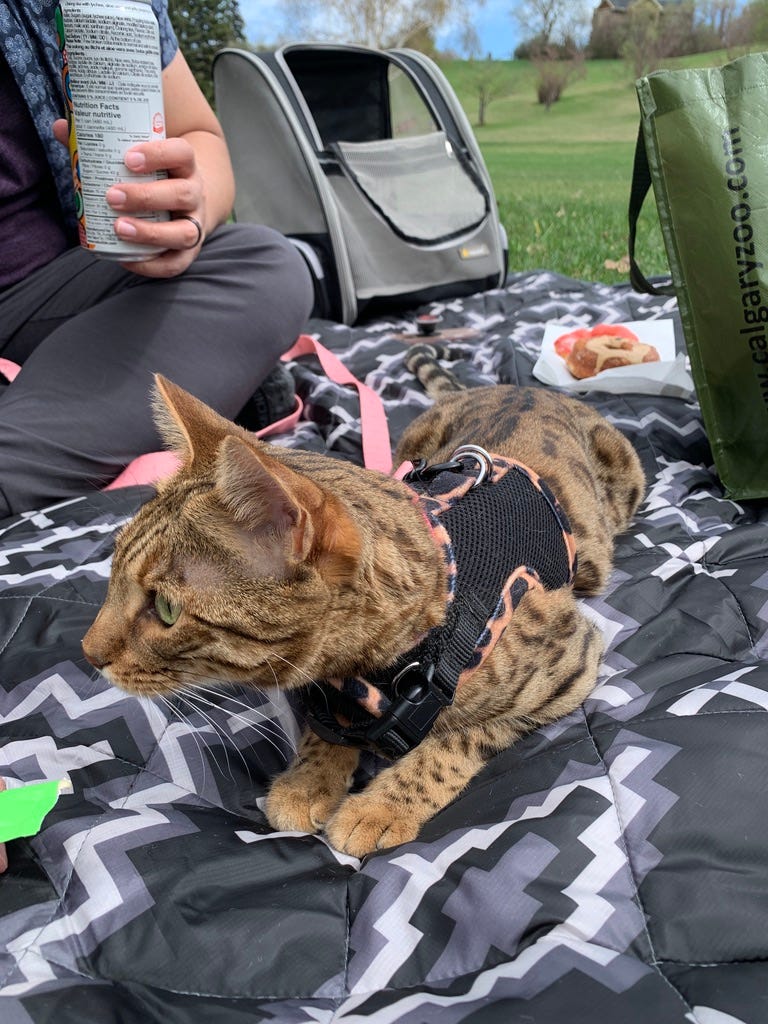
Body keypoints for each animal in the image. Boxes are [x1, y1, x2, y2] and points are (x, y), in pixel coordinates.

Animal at [81, 368, 647, 856]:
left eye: (165, 609)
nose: (87, 653)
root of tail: (518, 386)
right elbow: (324, 728)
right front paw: (309, 781)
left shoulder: (572, 663)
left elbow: (461, 738)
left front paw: (380, 806)